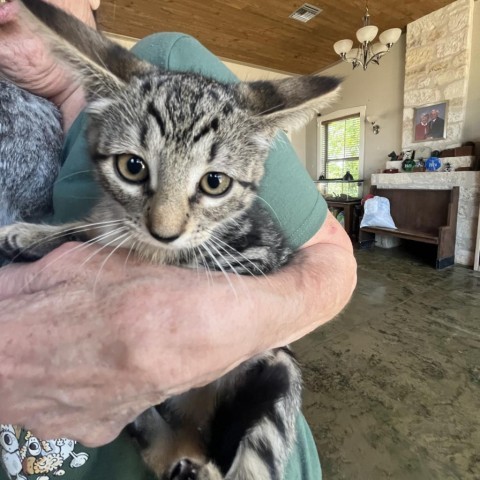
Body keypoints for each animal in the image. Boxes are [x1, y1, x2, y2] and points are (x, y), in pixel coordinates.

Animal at [0, 1, 342, 478]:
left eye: (215, 182)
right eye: (132, 167)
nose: (164, 231)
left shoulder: (255, 257)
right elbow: (92, 231)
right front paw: (34, 233)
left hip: (280, 371)